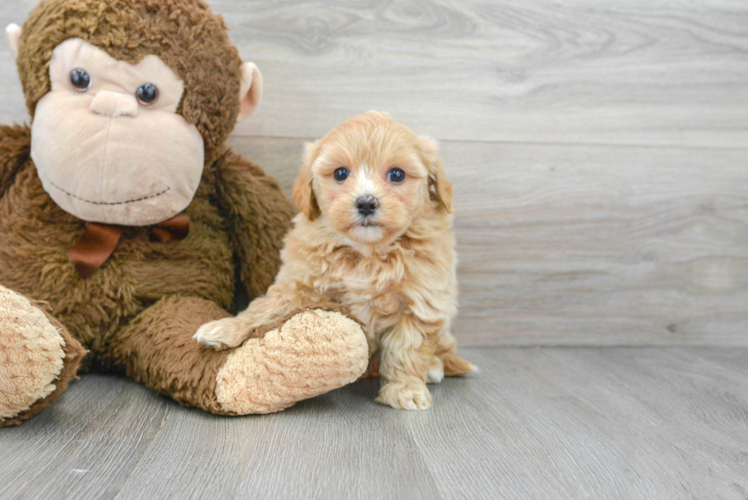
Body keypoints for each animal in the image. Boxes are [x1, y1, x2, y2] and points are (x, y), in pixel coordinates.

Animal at [193, 111, 474, 408]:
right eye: (340, 173)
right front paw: (226, 328)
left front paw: (405, 389)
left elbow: (407, 350)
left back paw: (433, 367)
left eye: (397, 174)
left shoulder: (420, 302)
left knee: (443, 348)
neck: (366, 253)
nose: (366, 202)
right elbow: (264, 308)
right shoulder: (299, 284)